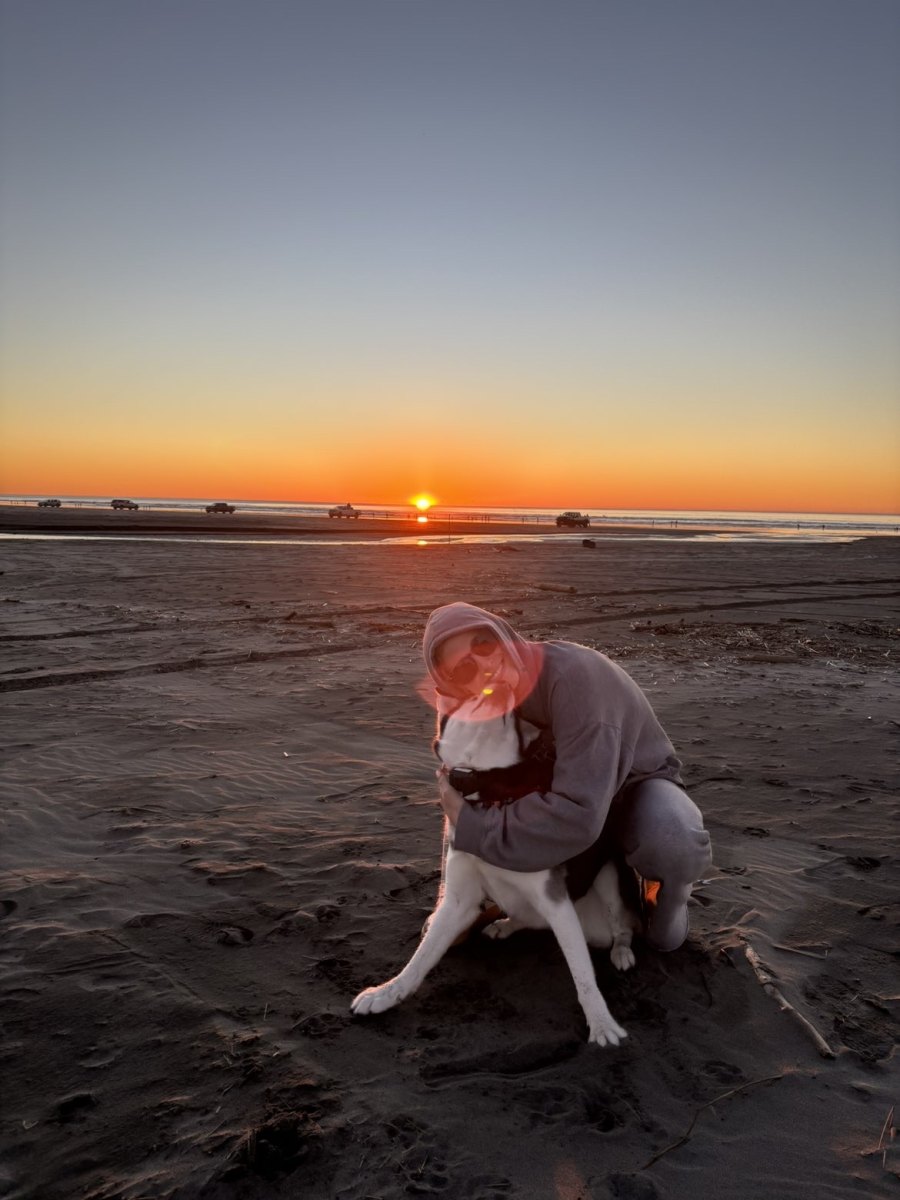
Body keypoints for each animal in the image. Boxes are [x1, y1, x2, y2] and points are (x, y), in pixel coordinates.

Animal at [351, 688, 641, 1046]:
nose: (495, 683)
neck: (487, 785)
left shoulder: (555, 900)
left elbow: (583, 974)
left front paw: (601, 1022)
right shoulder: (459, 898)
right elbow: (422, 956)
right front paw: (388, 991)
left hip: (610, 878)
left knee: (622, 927)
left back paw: (621, 951)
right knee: (527, 918)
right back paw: (504, 925)